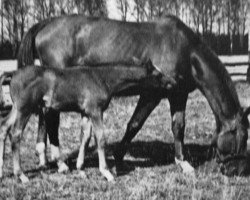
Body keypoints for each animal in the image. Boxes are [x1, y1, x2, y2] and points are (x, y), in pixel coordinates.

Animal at [0, 60, 163, 183]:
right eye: (158, 75)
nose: (169, 83)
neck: (102, 78)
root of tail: (13, 73)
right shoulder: (96, 111)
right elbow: (100, 139)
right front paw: (106, 172)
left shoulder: (86, 113)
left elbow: (85, 137)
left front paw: (80, 168)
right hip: (25, 109)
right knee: (15, 134)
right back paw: (21, 175)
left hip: (16, 108)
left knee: (4, 127)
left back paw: (2, 172)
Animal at [17, 14, 250, 176]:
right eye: (241, 138)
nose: (238, 171)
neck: (184, 49)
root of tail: (45, 25)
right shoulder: (152, 94)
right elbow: (134, 124)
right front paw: (117, 158)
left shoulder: (178, 94)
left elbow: (178, 126)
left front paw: (182, 162)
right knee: (50, 119)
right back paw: (60, 163)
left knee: (44, 117)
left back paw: (43, 158)